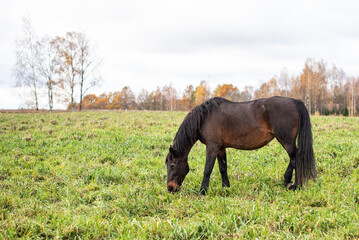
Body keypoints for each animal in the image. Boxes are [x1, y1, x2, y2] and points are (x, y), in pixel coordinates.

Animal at [165, 96, 316, 195]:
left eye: (172, 165)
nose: (170, 188)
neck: (205, 117)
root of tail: (295, 101)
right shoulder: (220, 148)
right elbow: (223, 168)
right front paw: (226, 188)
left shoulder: (212, 147)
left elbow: (208, 169)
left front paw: (202, 191)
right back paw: (288, 181)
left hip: (286, 140)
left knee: (296, 159)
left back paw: (295, 185)